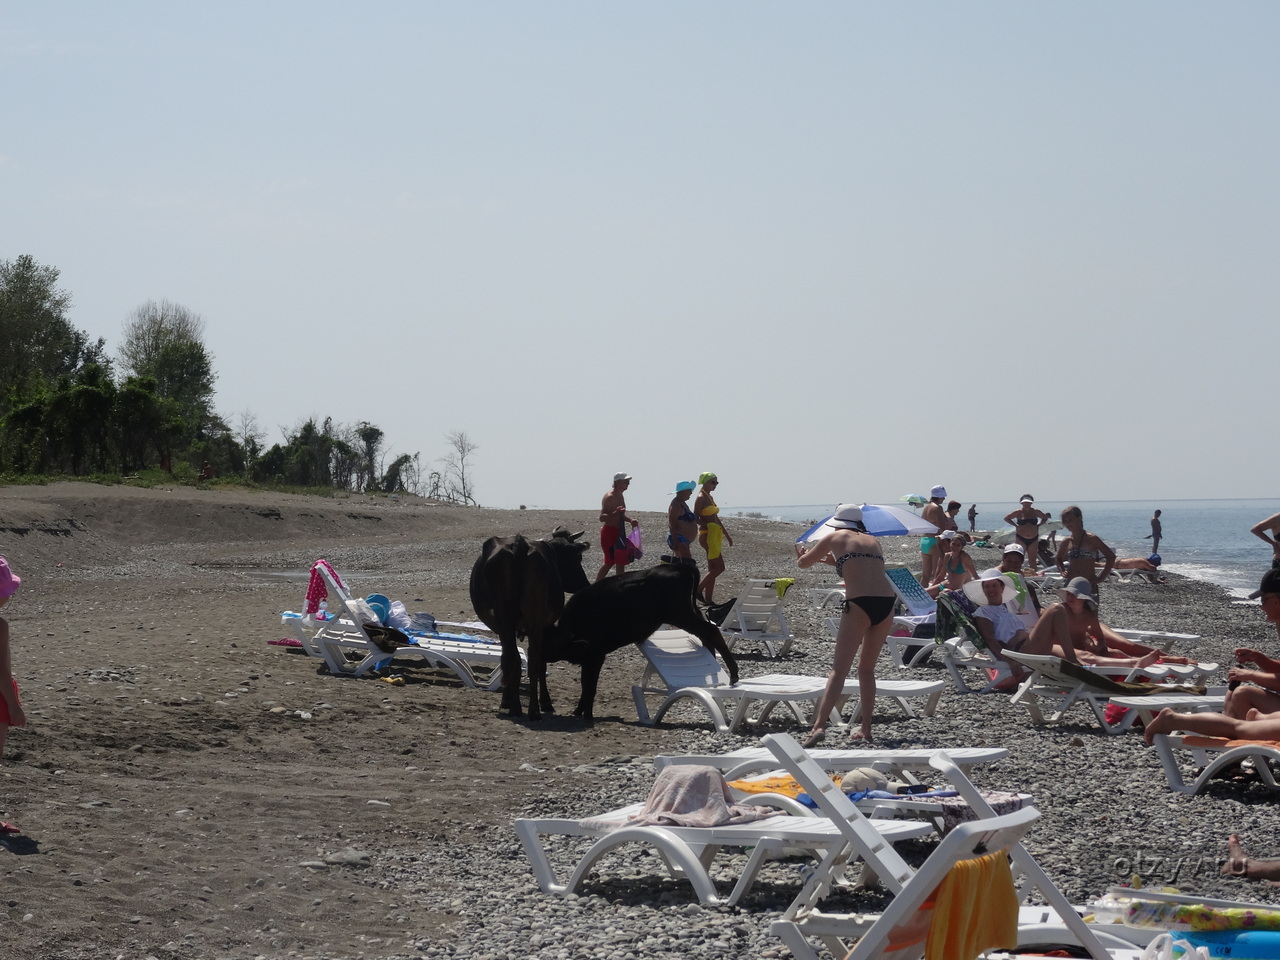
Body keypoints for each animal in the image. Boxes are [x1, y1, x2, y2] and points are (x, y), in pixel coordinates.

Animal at [468, 527, 591, 721]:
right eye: (577, 558)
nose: (585, 584)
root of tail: (519, 544)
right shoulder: (543, 627)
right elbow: (541, 664)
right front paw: (545, 702)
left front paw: (506, 700)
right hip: (534, 619)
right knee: (533, 661)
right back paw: (533, 711)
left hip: (504, 618)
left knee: (512, 658)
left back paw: (515, 708)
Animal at [547, 563, 742, 721]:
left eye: (553, 644)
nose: (546, 657)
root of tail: (678, 566)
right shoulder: (590, 659)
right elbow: (585, 683)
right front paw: (579, 711)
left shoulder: (596, 656)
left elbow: (589, 685)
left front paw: (586, 713)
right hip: (687, 615)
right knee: (705, 635)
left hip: (680, 615)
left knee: (711, 632)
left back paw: (733, 673)